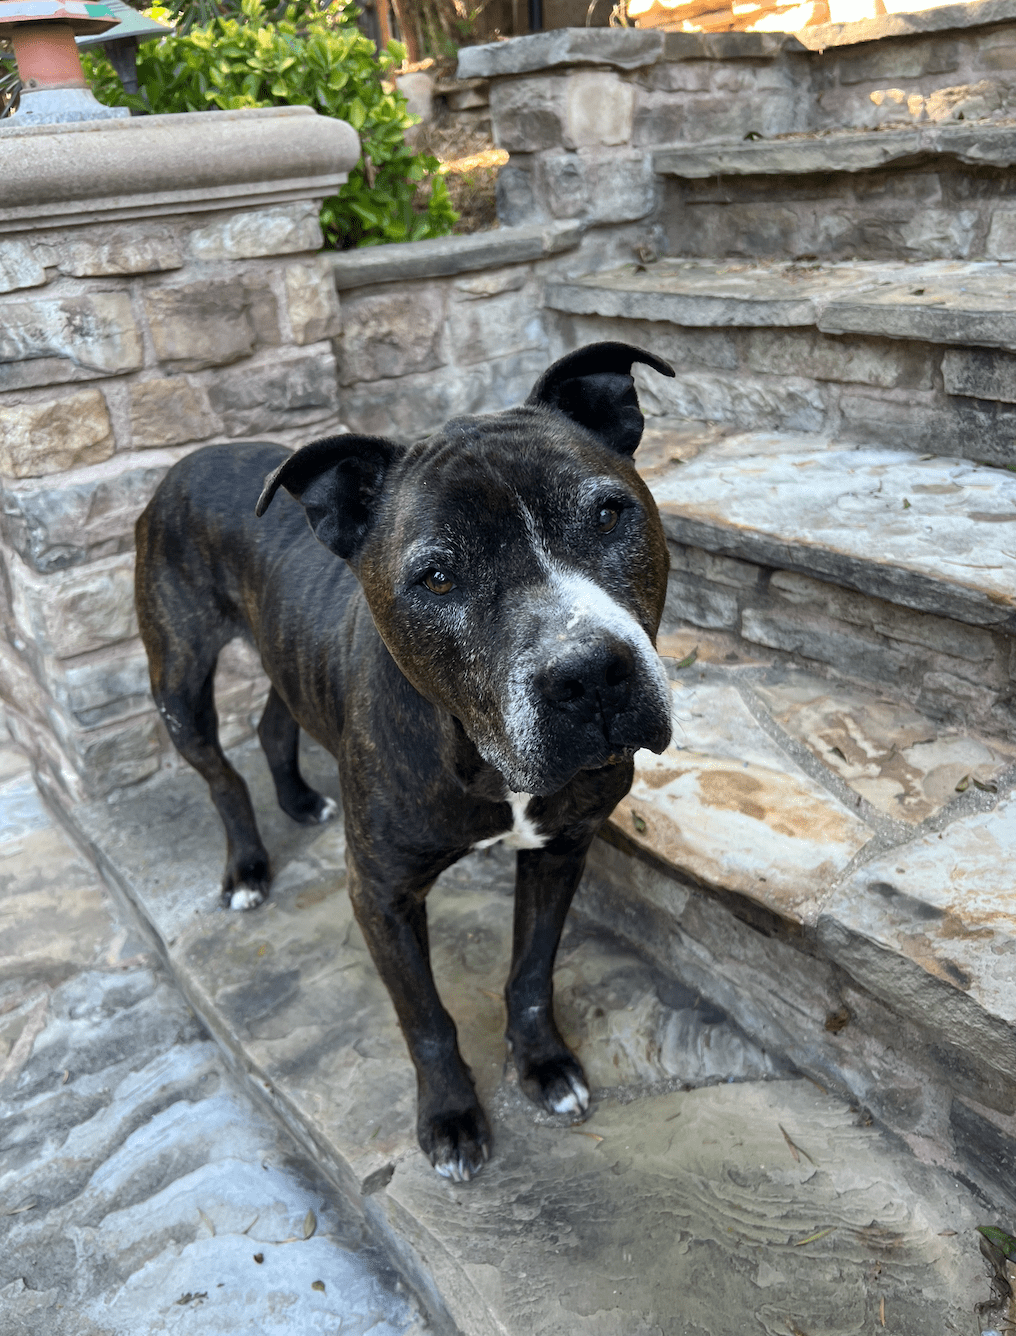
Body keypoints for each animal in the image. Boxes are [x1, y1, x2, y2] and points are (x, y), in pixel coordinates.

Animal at [133, 344, 673, 1181]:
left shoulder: (561, 848)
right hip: (179, 684)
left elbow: (531, 973)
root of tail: (189, 459)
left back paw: (300, 801)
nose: (588, 676)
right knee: (220, 775)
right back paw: (249, 867)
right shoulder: (381, 895)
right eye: (437, 577)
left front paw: (544, 1065)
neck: (478, 753)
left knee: (274, 721)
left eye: (609, 514)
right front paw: (450, 1116)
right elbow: (424, 1016)